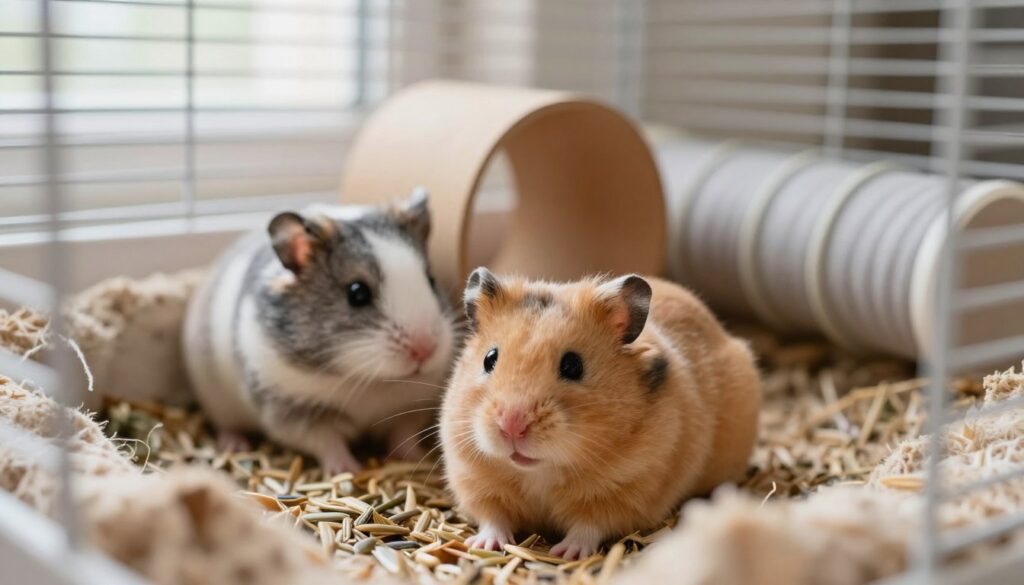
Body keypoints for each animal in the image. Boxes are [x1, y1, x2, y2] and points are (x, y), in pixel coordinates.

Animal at [182, 189, 456, 473]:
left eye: (431, 281)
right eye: (357, 293)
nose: (426, 349)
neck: (369, 380)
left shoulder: (411, 408)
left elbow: (403, 436)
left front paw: (417, 457)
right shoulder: (296, 413)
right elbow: (328, 443)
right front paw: (347, 470)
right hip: (220, 405)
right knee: (227, 426)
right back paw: (235, 445)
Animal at [440, 269, 760, 559]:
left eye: (573, 366)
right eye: (489, 358)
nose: (512, 425)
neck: (541, 471)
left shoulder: (629, 487)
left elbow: (588, 526)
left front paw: (565, 553)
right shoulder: (473, 478)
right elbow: (492, 517)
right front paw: (483, 545)